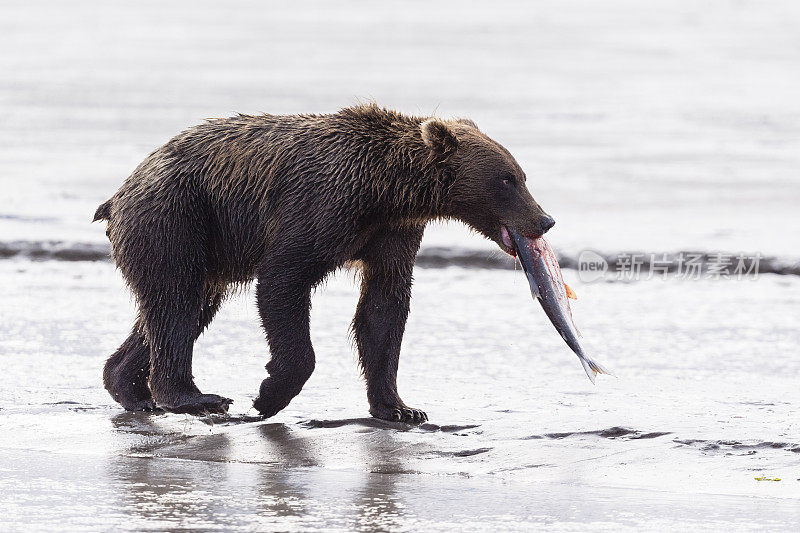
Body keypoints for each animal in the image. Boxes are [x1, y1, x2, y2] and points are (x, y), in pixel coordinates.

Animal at [94, 103, 552, 420]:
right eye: (508, 179)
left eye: (521, 175)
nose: (545, 220)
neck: (385, 190)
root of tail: (119, 193)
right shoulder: (320, 207)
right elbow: (283, 280)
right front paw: (268, 394)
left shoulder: (391, 234)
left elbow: (384, 308)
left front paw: (400, 407)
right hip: (178, 216)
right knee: (176, 300)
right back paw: (195, 397)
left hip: (204, 242)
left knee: (182, 308)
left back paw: (131, 389)